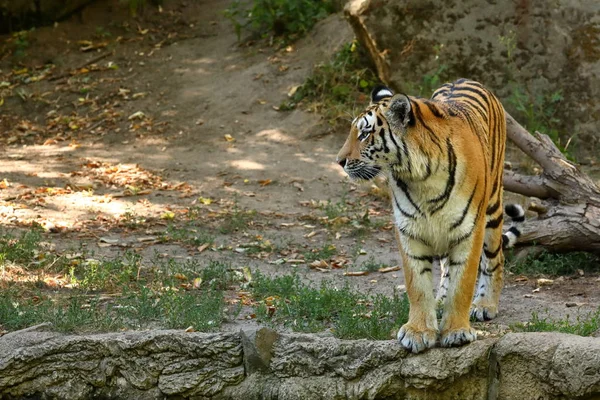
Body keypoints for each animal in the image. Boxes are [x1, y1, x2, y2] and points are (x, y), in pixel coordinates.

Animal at [338, 78, 524, 354]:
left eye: (364, 134)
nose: (339, 161)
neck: (420, 177)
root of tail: (466, 79)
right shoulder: (409, 230)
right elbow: (417, 285)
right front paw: (418, 332)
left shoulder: (470, 230)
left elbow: (463, 283)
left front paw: (457, 331)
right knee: (446, 267)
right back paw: (441, 300)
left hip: (492, 206)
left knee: (495, 259)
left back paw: (484, 305)